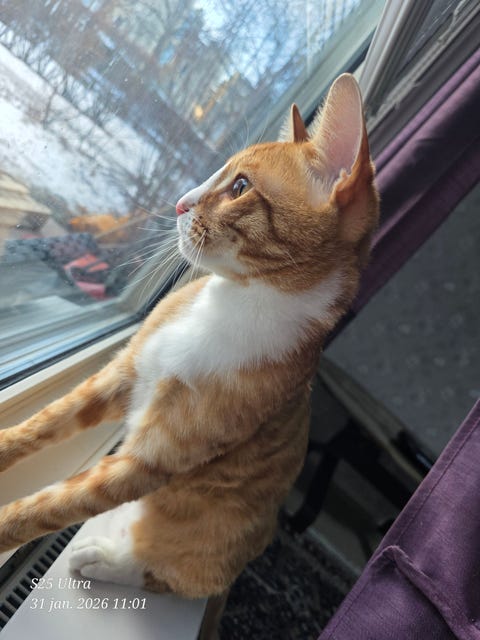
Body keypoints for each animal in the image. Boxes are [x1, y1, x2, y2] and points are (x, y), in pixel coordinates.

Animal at [0, 74, 378, 598]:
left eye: (239, 186)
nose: (179, 202)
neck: (229, 305)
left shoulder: (149, 461)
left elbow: (47, 508)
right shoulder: (123, 372)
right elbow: (40, 424)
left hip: (207, 546)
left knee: (172, 574)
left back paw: (105, 559)